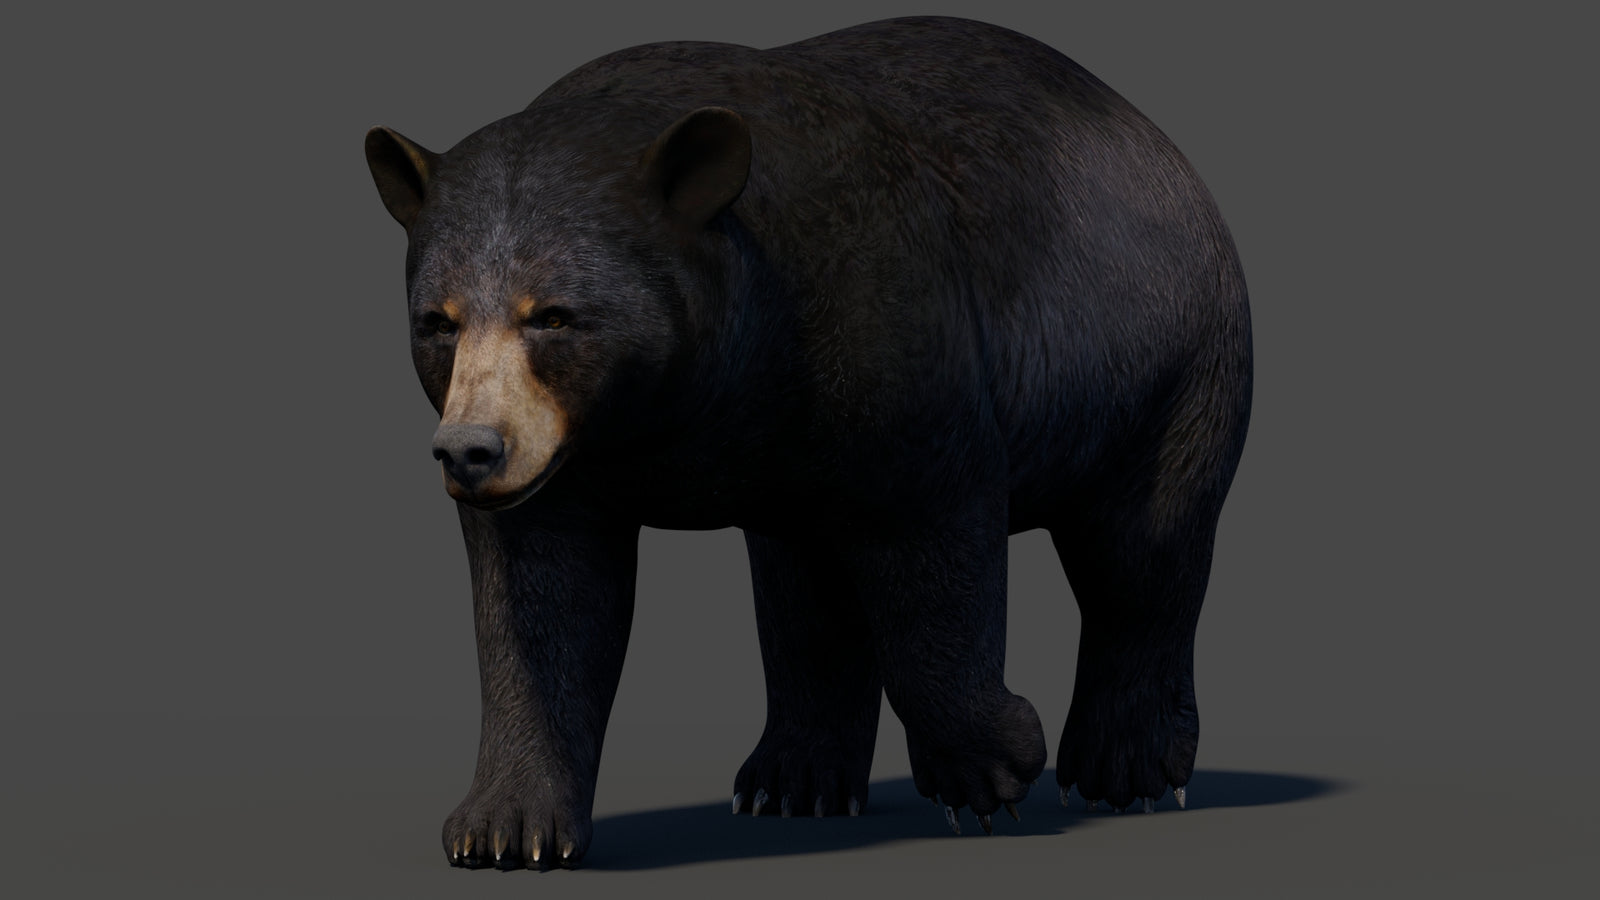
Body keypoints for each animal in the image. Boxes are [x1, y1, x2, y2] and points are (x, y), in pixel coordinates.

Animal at [363, 15, 1252, 869]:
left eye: (553, 315)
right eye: (437, 322)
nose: (469, 451)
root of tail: (1163, 144)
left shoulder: (882, 329)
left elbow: (933, 542)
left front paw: (994, 761)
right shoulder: (574, 458)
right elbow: (541, 597)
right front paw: (506, 829)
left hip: (1165, 359)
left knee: (1143, 552)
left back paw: (1126, 770)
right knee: (805, 592)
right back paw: (790, 781)